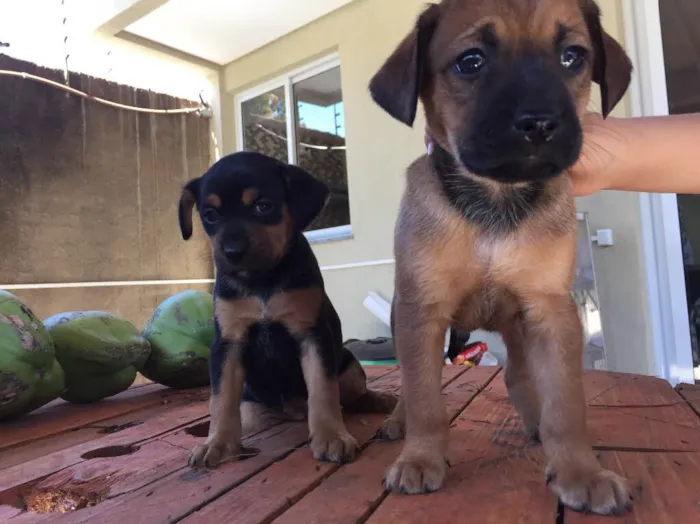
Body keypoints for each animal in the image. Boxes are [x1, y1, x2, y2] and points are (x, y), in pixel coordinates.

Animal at [178, 151, 396, 466]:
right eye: (210, 215)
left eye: (263, 206)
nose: (232, 252)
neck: (262, 281)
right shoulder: (228, 343)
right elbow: (221, 399)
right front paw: (217, 444)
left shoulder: (311, 334)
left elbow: (322, 390)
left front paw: (331, 437)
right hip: (253, 408)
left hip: (350, 366)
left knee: (352, 396)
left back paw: (380, 399)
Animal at [372, 0, 636, 516]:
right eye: (470, 61)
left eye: (573, 56)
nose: (539, 123)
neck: (496, 200)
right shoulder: (422, 311)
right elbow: (424, 397)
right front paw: (420, 458)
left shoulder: (550, 311)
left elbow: (565, 405)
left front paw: (581, 471)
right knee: (413, 389)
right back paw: (397, 422)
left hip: (518, 324)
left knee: (517, 373)